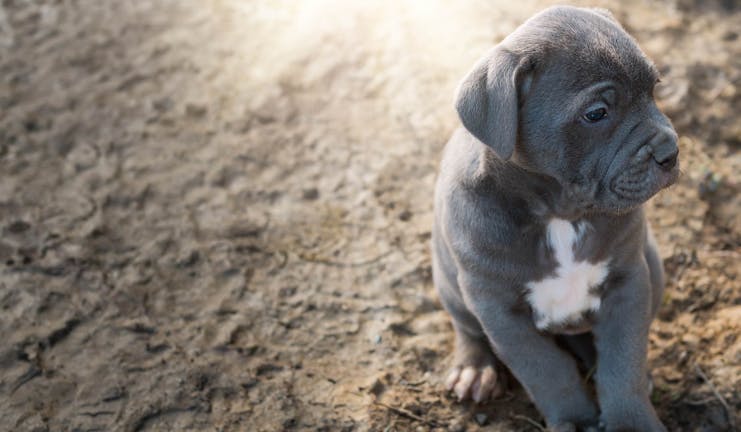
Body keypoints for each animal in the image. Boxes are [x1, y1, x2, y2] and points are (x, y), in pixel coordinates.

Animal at [430, 4, 680, 432]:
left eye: (655, 88)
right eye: (596, 114)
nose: (670, 152)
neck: (558, 214)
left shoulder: (629, 281)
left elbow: (623, 363)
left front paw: (631, 420)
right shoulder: (500, 312)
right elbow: (547, 371)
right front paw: (575, 420)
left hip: (654, 264)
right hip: (449, 283)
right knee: (466, 327)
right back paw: (475, 369)